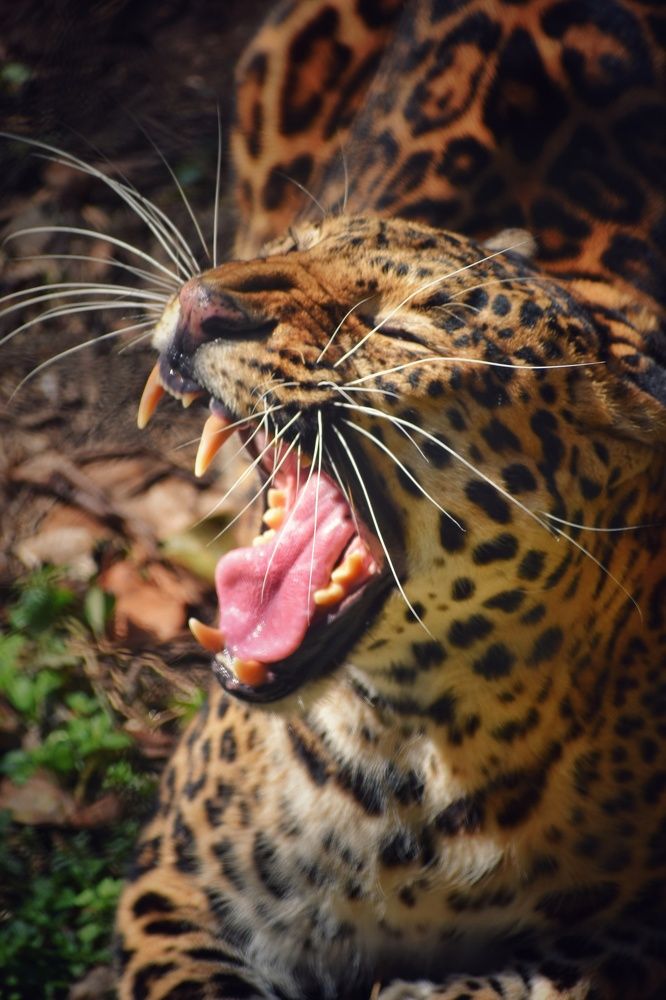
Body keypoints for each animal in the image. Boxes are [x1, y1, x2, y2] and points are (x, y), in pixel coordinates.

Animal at [113, 1, 666, 998]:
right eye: (290, 252)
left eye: (398, 331)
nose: (204, 302)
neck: (405, 765)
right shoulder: (177, 880)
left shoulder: (634, 930)